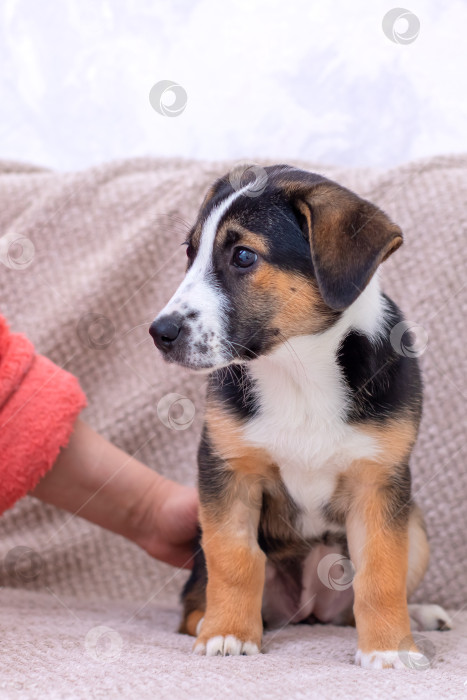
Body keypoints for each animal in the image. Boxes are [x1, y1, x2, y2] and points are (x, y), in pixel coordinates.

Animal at [149, 167, 450, 668]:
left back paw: (421, 614)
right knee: (196, 600)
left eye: (243, 256)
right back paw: (209, 620)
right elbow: (235, 559)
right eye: (190, 253)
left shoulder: (379, 479)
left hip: (417, 527)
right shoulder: (228, 471)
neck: (298, 367)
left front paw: (389, 648)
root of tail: (311, 608)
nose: (159, 333)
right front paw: (228, 634)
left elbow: (382, 571)